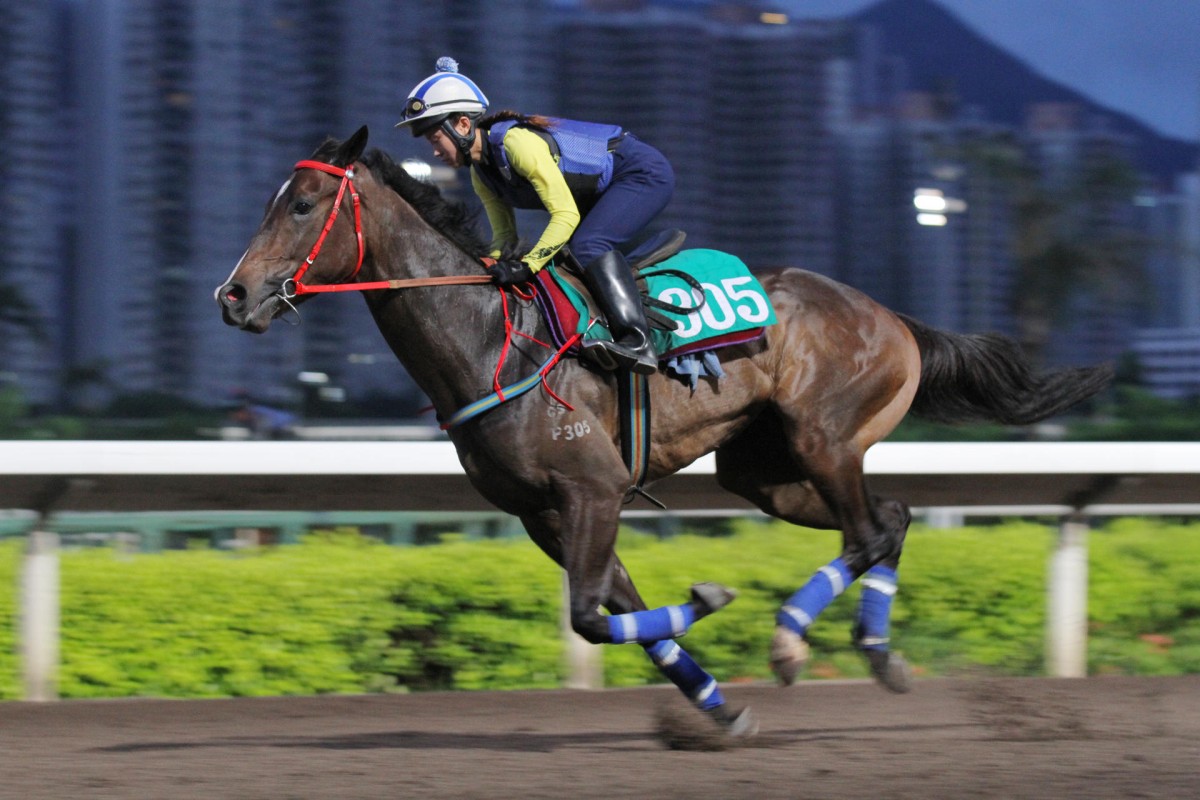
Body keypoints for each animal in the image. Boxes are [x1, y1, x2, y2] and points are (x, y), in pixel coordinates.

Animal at [213, 128, 1104, 743]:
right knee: (890, 520)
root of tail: (892, 317)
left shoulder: (593, 489)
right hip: (762, 471)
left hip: (826, 439)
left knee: (867, 532)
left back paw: (795, 643)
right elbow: (621, 615)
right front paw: (719, 709)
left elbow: (590, 617)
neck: (489, 336)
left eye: (301, 205)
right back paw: (876, 653)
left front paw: (712, 604)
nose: (235, 296)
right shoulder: (544, 513)